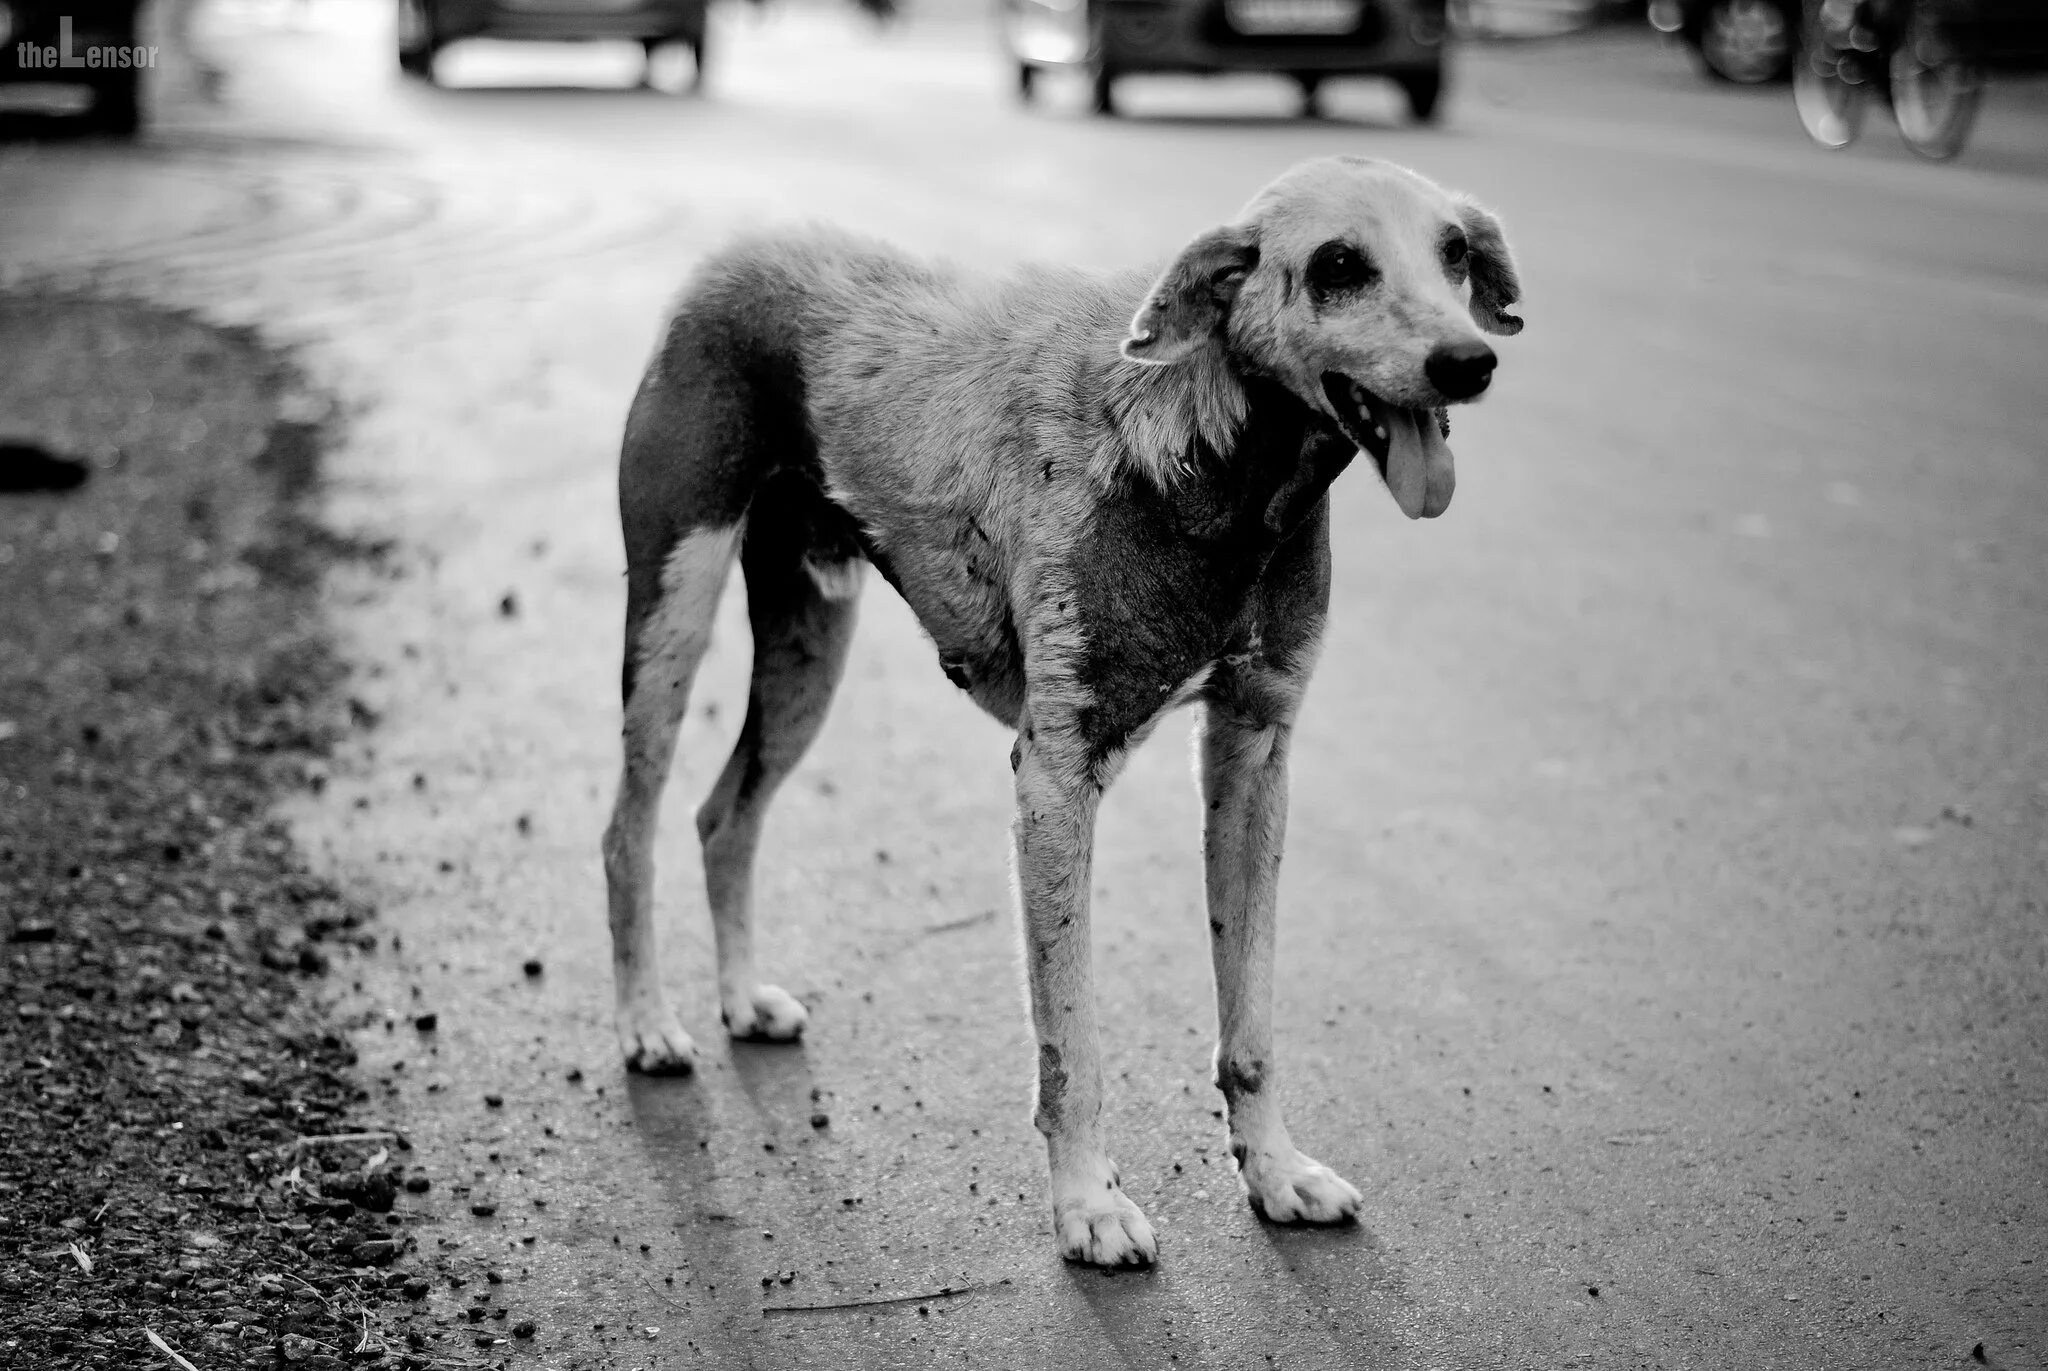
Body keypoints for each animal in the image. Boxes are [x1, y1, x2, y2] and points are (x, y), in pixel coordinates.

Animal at [598, 154, 1515, 1270]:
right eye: (1340, 266)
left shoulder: (1254, 759)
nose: (1469, 361)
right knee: (628, 829)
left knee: (723, 816)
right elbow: (1071, 1039)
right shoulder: (1056, 785)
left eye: (1454, 253)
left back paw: (738, 999)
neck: (1211, 463)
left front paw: (1273, 1173)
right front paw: (1089, 1205)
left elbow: (1248, 1018)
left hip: (809, 651)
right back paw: (648, 1025)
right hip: (671, 624)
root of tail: (739, 250)